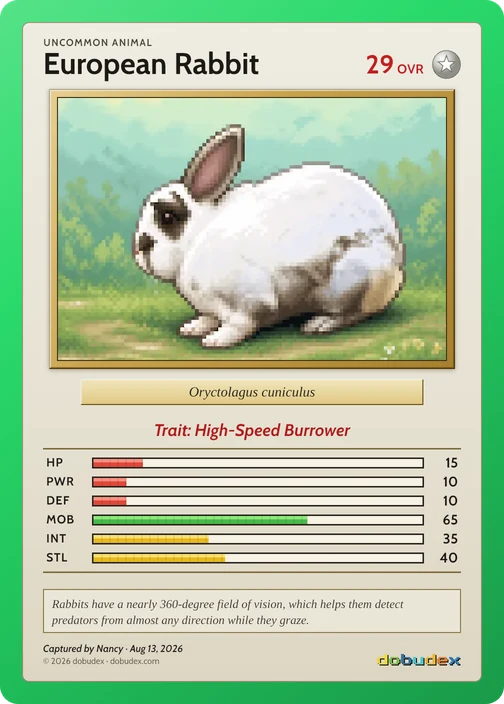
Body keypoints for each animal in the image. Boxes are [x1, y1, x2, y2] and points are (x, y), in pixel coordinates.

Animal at [133, 124, 404, 348]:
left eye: (168, 217)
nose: (141, 246)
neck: (196, 237)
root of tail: (396, 266)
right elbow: (209, 317)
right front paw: (193, 328)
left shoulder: (250, 298)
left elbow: (242, 323)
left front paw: (217, 340)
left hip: (351, 281)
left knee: (357, 312)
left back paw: (321, 324)